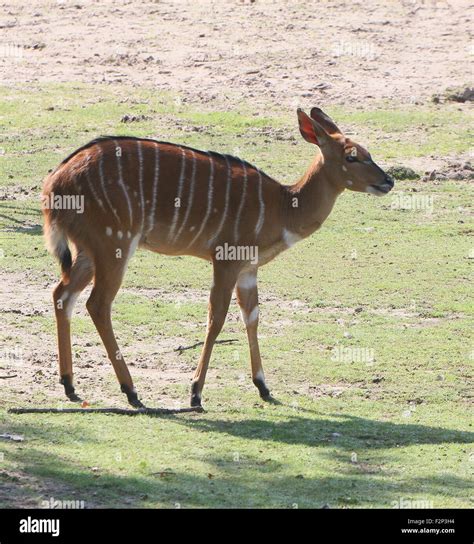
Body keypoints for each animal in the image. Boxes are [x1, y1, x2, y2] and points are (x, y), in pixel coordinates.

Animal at [42, 108, 394, 408]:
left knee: (63, 294)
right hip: (114, 244)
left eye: (368, 152)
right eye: (352, 156)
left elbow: (252, 316)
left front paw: (263, 386)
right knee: (97, 303)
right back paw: (131, 391)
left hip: (89, 250)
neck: (281, 207)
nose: (388, 180)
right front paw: (195, 393)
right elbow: (217, 317)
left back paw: (70, 384)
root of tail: (54, 183)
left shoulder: (249, 268)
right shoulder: (226, 259)